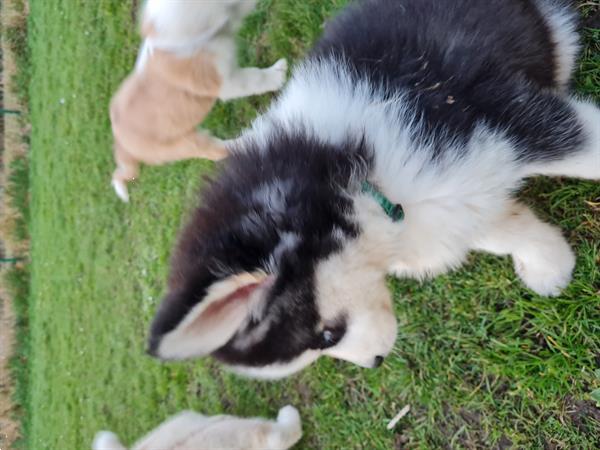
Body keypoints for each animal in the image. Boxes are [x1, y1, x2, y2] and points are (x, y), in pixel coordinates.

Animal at [112, 0, 290, 200]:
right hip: (184, 144)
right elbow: (254, 79)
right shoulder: (226, 82)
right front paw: (277, 74)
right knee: (219, 150)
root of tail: (120, 142)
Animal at [148, 0, 596, 378]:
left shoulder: (498, 120)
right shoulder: (453, 201)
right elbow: (503, 231)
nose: (376, 361)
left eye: (327, 336)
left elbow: (584, 150)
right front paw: (549, 265)